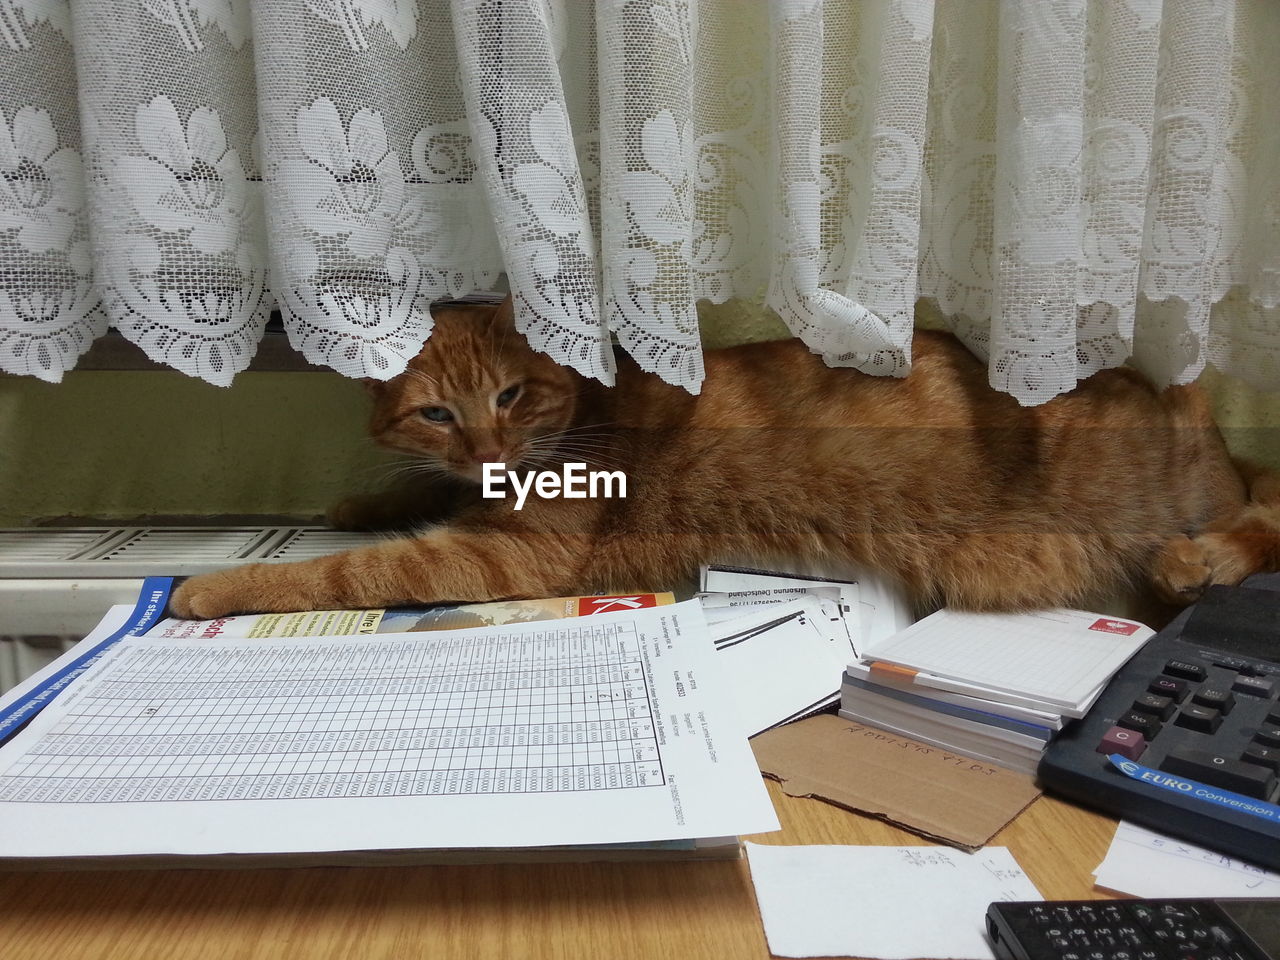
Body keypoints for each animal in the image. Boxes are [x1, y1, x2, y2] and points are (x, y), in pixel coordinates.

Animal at [170, 296, 1280, 619]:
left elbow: (345, 574)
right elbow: (395, 506)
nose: (486, 444)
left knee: (1261, 516)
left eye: (511, 395)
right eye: (439, 413)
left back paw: (1198, 560)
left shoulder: (508, 555)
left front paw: (206, 588)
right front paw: (356, 502)